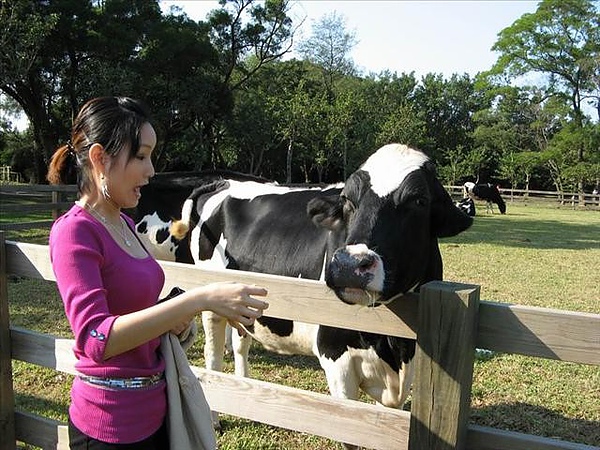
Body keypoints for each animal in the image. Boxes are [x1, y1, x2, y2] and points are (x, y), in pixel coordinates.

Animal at [170, 145, 474, 426]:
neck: (390, 345)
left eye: (420, 200)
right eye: (347, 200)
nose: (350, 265)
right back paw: (214, 417)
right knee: (213, 358)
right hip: (212, 304)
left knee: (240, 344)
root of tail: (225, 182)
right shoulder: (335, 356)